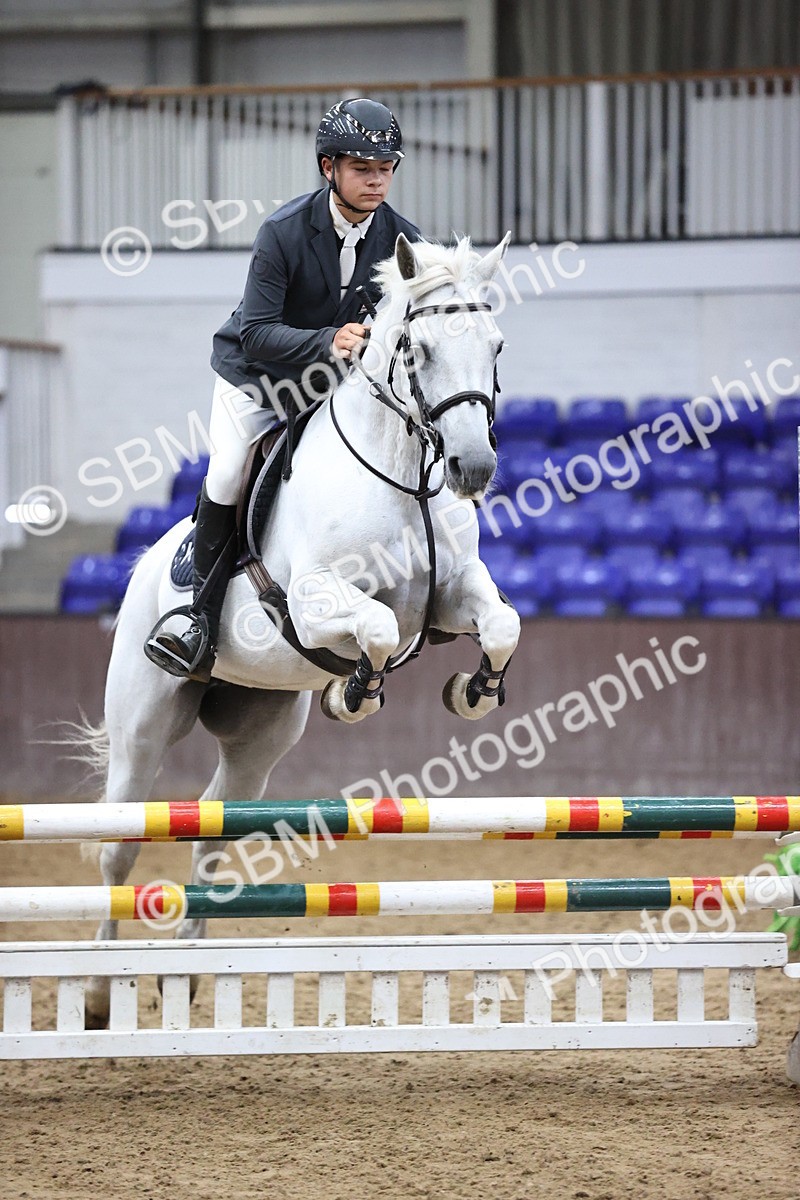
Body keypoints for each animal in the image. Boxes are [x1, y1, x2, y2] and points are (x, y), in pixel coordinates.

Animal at [82, 232, 521, 1026]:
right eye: (419, 349)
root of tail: (142, 565)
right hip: (142, 726)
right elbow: (376, 625)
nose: (473, 468)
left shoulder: (452, 596)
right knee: (119, 848)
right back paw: (101, 991)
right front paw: (356, 694)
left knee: (208, 833)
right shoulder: (317, 601)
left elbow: (502, 623)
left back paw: (184, 977)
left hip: (259, 737)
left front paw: (474, 691)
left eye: (496, 345)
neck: (401, 471)